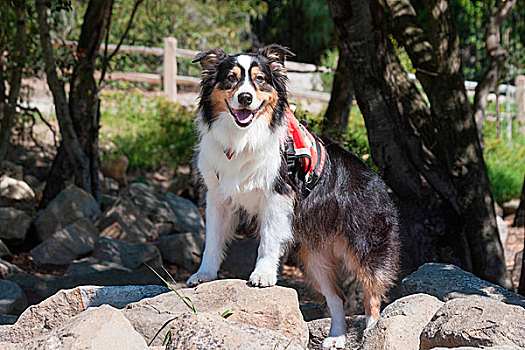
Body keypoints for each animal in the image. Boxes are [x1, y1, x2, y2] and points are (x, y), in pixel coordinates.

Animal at [186, 45, 400, 348]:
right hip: (314, 257)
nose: (245, 98)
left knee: (372, 293)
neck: (243, 137)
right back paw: (336, 338)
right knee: (337, 297)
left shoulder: (277, 197)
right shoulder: (218, 198)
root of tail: (378, 181)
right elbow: (212, 241)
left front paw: (262, 275)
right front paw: (203, 275)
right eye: (230, 78)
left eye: (260, 79)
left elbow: (267, 242)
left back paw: (371, 331)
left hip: (366, 246)